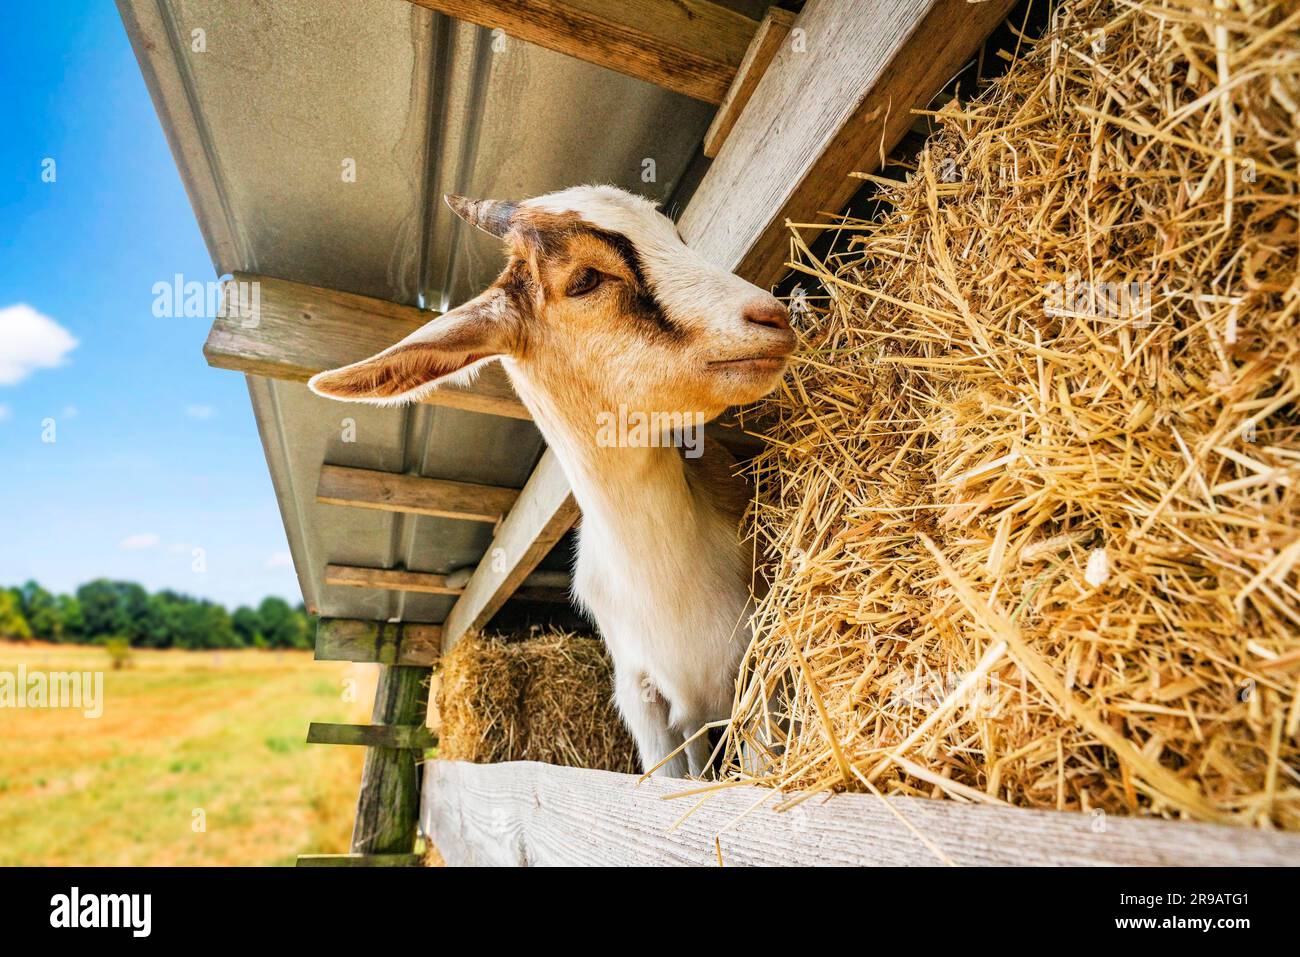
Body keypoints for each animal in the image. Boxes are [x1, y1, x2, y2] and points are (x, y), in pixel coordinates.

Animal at [308, 184, 790, 780]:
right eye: (584, 279)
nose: (771, 316)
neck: (670, 585)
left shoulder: (757, 675)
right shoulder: (647, 704)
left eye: (675, 236)